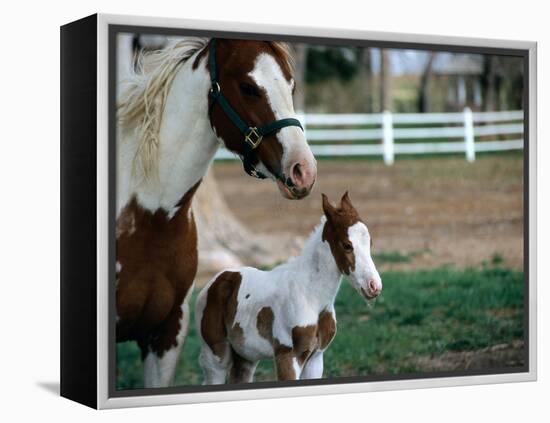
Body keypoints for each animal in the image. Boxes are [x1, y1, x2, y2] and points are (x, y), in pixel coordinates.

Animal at [196, 193, 382, 384]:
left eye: (370, 243)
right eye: (347, 245)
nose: (374, 286)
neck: (311, 296)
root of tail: (215, 281)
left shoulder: (316, 359)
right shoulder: (287, 356)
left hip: (245, 356)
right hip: (216, 355)